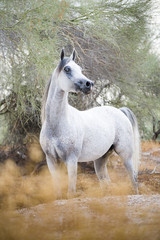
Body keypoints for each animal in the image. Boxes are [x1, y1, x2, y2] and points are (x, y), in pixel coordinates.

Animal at [39, 48, 140, 197]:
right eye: (67, 69)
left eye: (80, 69)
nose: (89, 84)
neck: (56, 125)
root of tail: (120, 111)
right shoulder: (51, 160)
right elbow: (58, 189)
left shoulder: (71, 160)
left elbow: (71, 190)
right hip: (100, 159)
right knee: (106, 181)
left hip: (126, 155)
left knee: (133, 178)